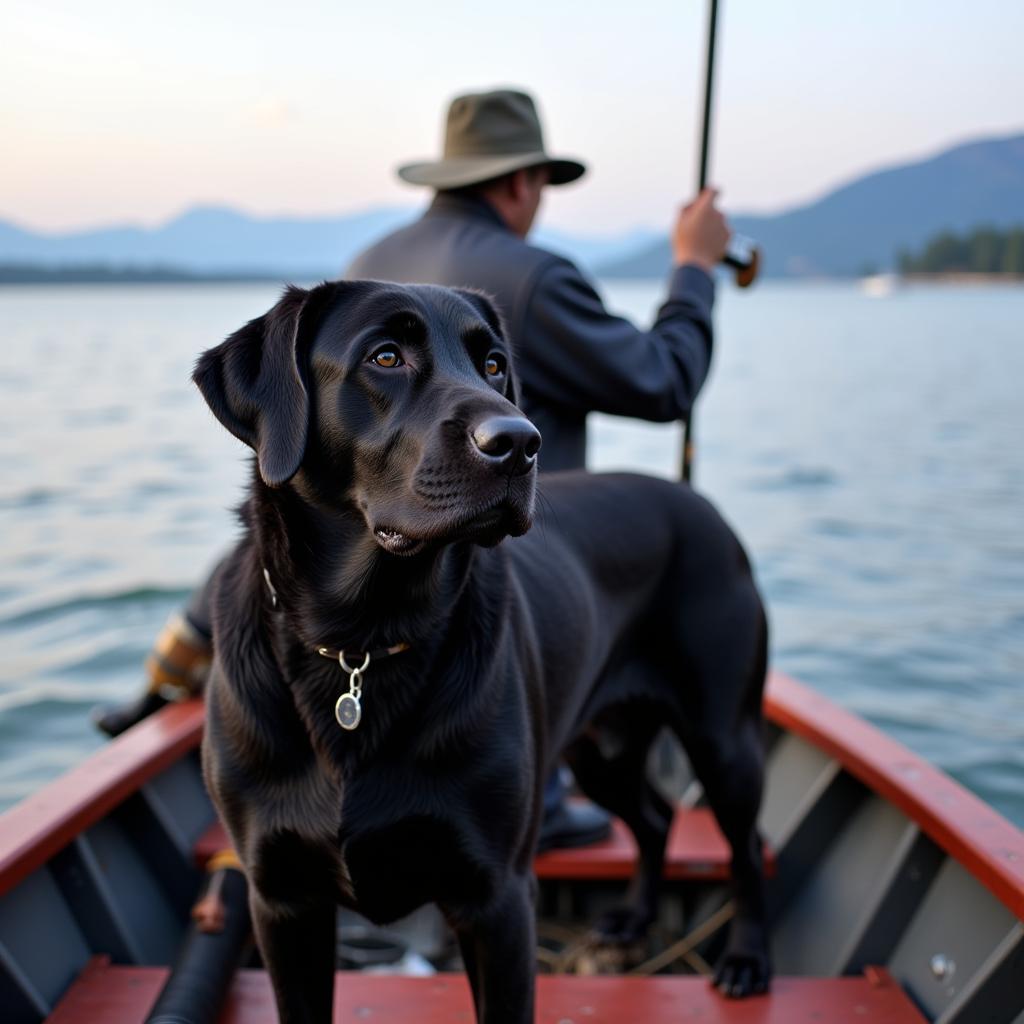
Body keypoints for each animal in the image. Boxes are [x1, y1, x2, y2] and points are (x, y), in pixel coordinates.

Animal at [193, 280, 770, 1024]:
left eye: (495, 366)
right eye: (385, 356)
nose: (520, 442)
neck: (361, 640)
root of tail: (702, 504)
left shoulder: (497, 899)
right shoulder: (284, 900)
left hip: (722, 737)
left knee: (746, 848)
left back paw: (747, 960)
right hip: (601, 747)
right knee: (655, 817)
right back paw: (632, 920)